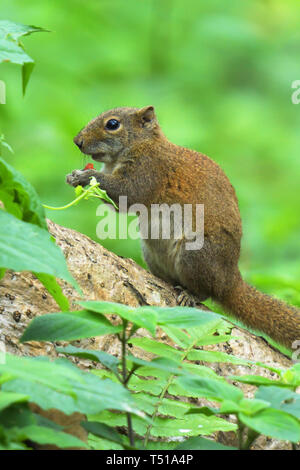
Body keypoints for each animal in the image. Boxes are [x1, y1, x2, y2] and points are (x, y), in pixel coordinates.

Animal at [66, 106, 300, 348]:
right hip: (151, 252)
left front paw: (86, 176)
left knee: (207, 292)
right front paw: (74, 176)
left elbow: (128, 193)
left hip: (196, 255)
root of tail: (230, 280)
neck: (142, 144)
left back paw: (191, 295)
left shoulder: (149, 170)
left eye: (112, 124)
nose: (77, 141)